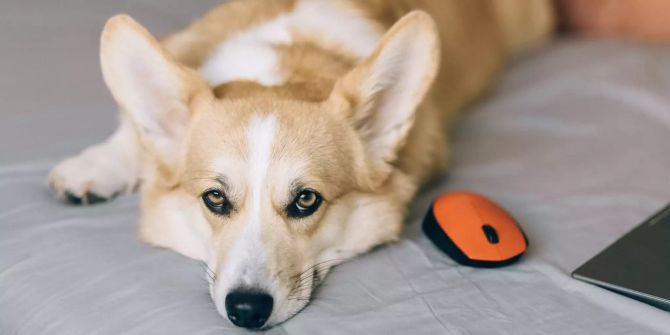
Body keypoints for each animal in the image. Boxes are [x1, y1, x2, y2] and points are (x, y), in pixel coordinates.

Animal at [46, 0, 552, 330]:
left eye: (306, 200)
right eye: (215, 198)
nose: (246, 312)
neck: (287, 63)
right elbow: (131, 132)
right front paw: (95, 166)